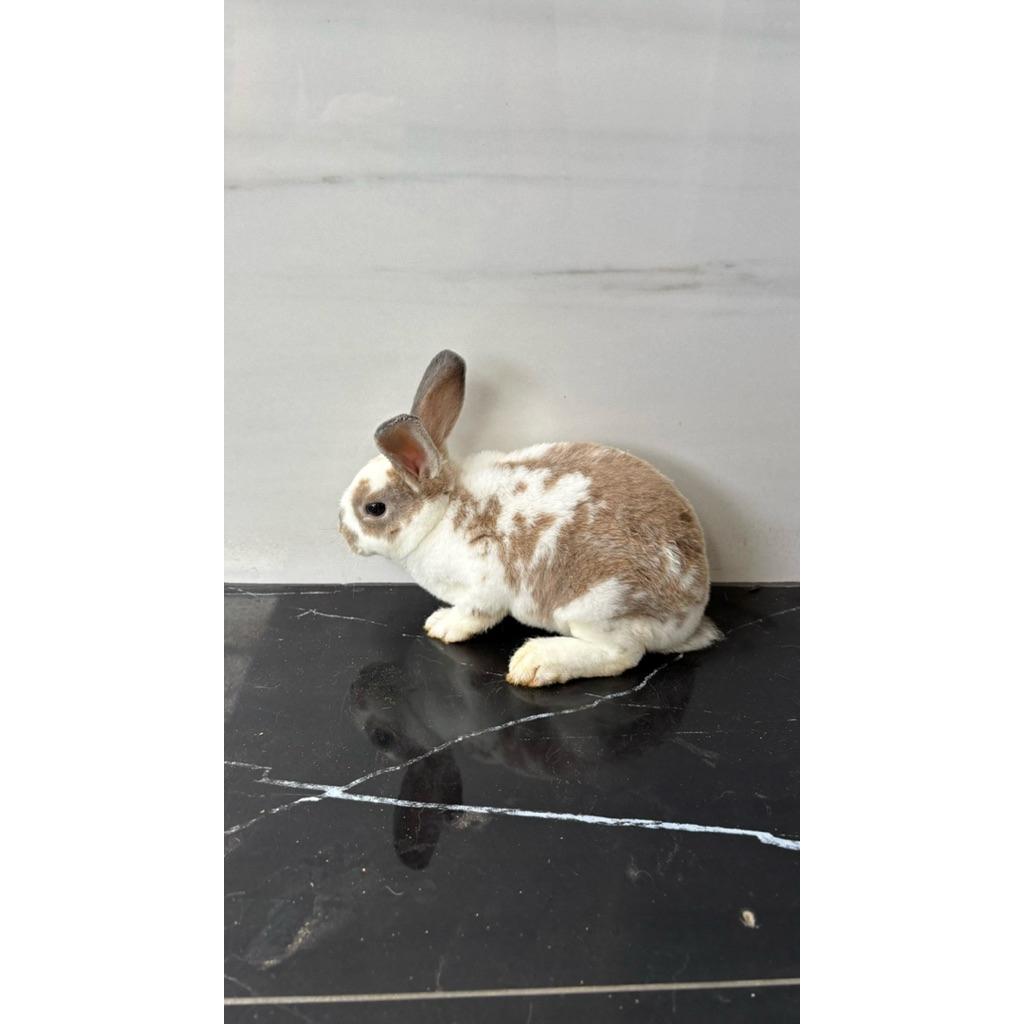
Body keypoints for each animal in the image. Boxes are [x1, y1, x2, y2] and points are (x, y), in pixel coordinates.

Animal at [338, 350, 722, 686]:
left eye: (374, 508)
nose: (344, 534)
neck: (443, 512)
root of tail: (691, 617)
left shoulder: (483, 586)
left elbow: (473, 616)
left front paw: (442, 625)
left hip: (598, 607)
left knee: (622, 654)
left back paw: (536, 662)